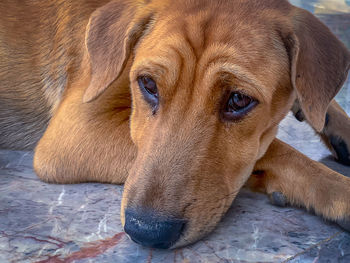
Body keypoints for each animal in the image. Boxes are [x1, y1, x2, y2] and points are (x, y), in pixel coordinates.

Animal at [0, 0, 350, 250]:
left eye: (238, 99)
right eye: (148, 85)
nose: (147, 232)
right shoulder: (74, 131)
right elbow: (277, 150)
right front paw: (338, 190)